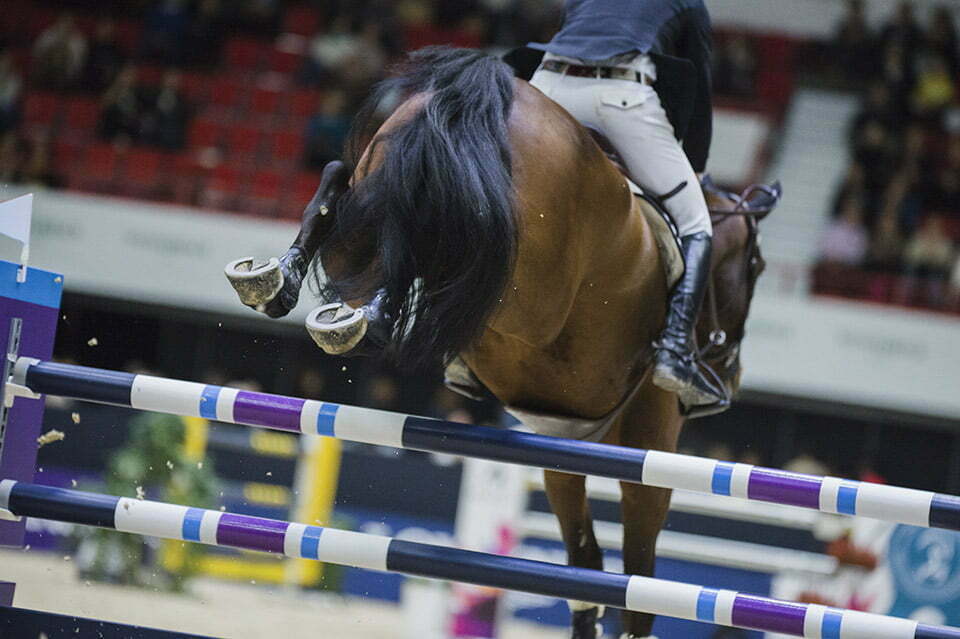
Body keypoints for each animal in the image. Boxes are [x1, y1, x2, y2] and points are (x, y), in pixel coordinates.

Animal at [226, 46, 779, 639]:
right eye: (755, 267)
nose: (730, 375)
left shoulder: (566, 438)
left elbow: (586, 564)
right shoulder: (651, 433)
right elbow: (637, 576)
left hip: (374, 203)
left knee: (344, 187)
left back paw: (286, 286)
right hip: (527, 292)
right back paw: (354, 311)